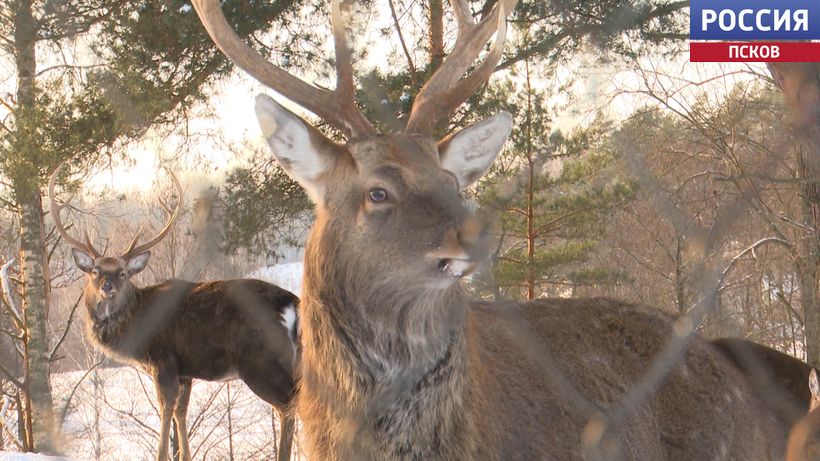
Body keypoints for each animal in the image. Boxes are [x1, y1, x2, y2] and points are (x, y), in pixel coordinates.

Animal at [48, 164, 298, 460]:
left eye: (122, 272)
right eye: (95, 271)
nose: (107, 287)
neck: (136, 326)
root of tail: (291, 303)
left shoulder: (163, 358)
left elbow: (165, 408)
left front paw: (161, 455)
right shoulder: (185, 370)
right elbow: (181, 412)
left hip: (260, 360)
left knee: (289, 404)